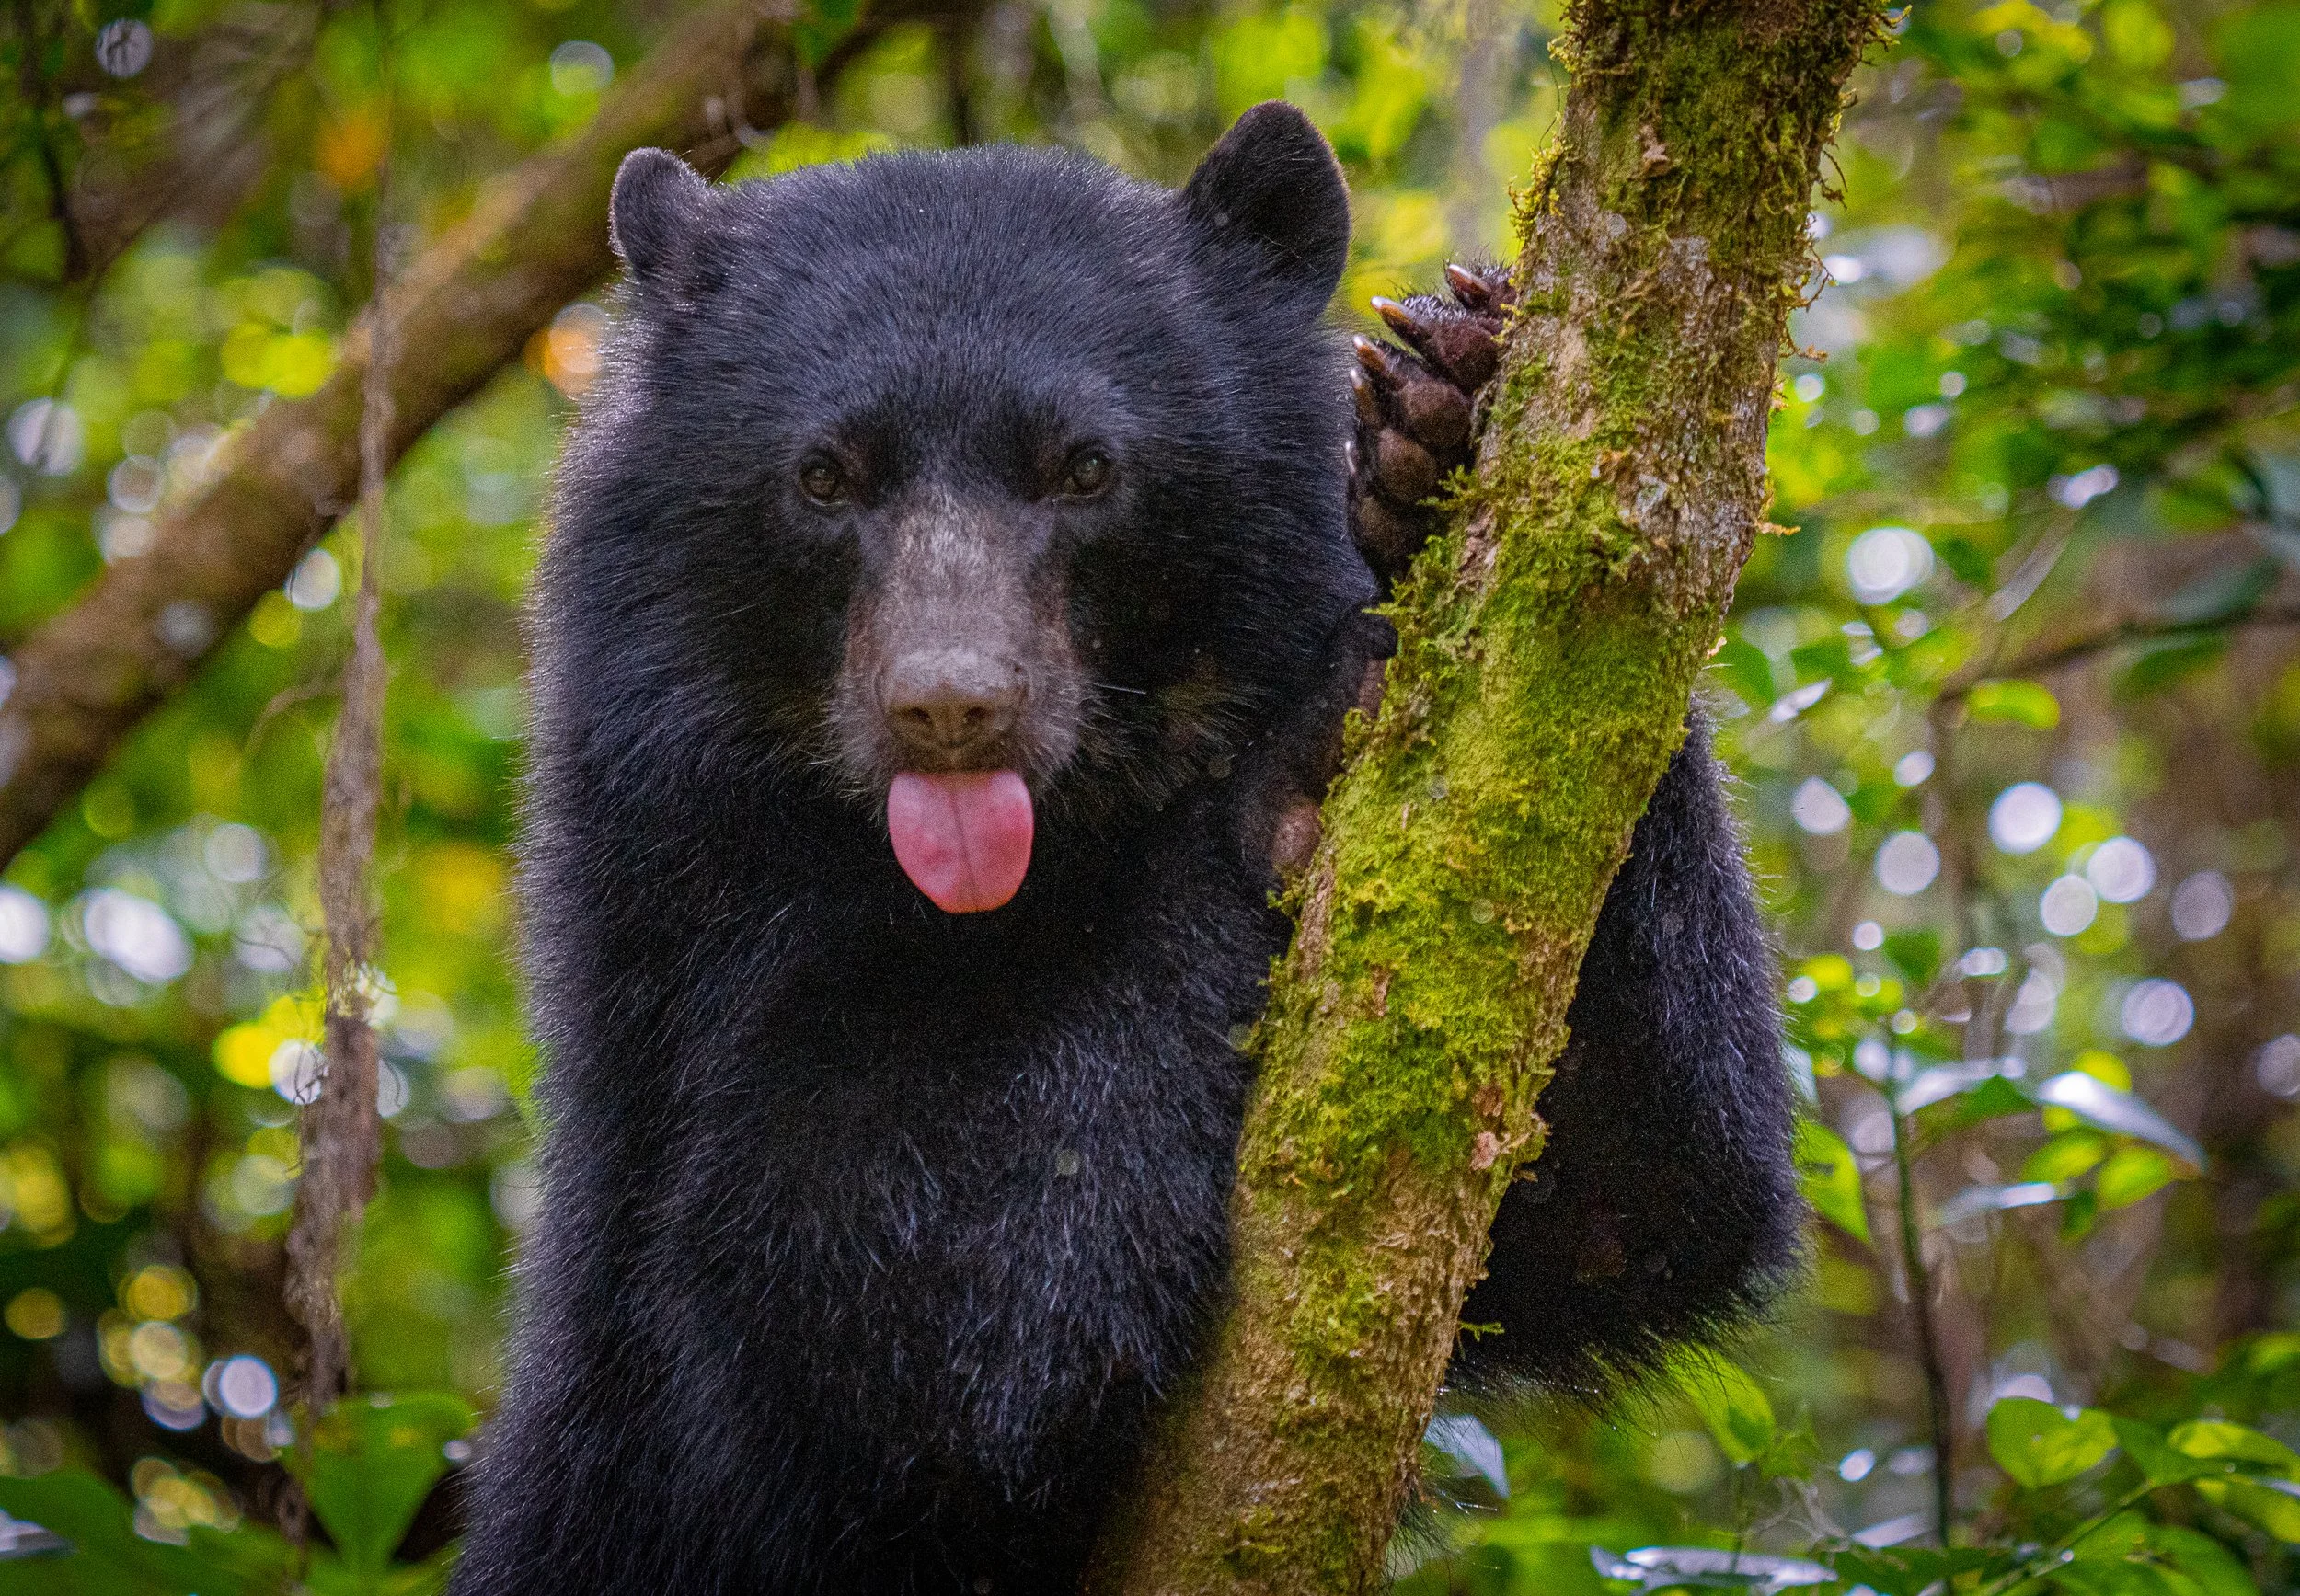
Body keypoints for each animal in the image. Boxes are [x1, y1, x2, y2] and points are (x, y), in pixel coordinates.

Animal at [449, 102, 1797, 1596]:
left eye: (1086, 468)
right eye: (823, 478)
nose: (952, 705)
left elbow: (1632, 1191)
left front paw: (1442, 408)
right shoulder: (683, 956)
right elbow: (891, 1314)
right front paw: (1295, 769)